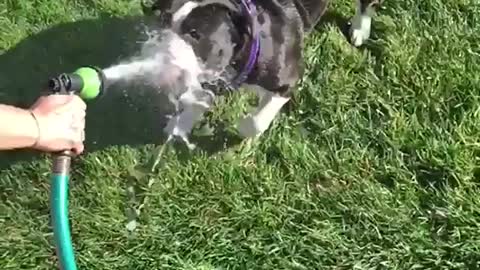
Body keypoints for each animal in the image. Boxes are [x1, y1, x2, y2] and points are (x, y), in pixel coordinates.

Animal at [141, 0, 380, 147]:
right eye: (160, 20)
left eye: (194, 34)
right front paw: (181, 123)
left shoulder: (287, 82)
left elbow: (257, 121)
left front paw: (243, 126)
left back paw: (360, 28)